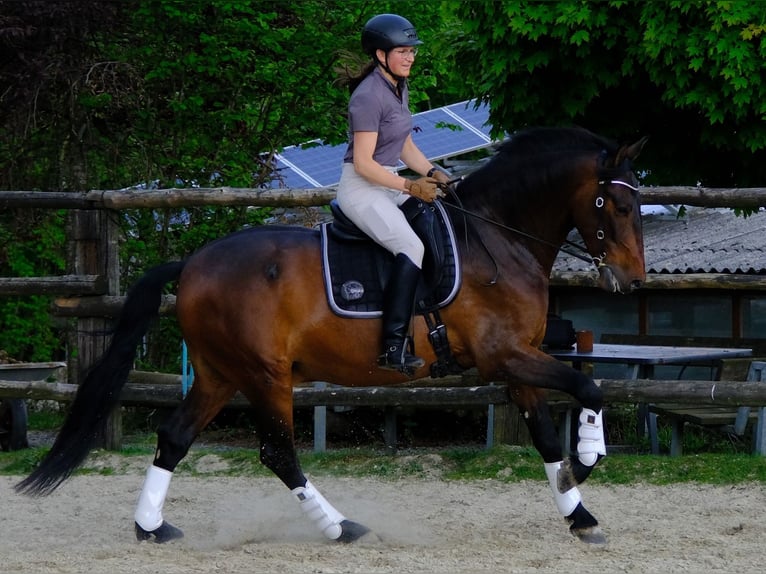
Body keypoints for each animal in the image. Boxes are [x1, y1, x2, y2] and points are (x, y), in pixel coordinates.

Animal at [16, 126, 648, 546]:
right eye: (613, 203)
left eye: (636, 203)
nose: (635, 280)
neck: (497, 237)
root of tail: (194, 262)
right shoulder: (505, 357)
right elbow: (588, 391)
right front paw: (586, 460)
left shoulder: (519, 361)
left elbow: (543, 434)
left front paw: (579, 514)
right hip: (266, 375)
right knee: (278, 453)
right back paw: (341, 526)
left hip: (221, 374)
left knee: (174, 437)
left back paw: (151, 527)